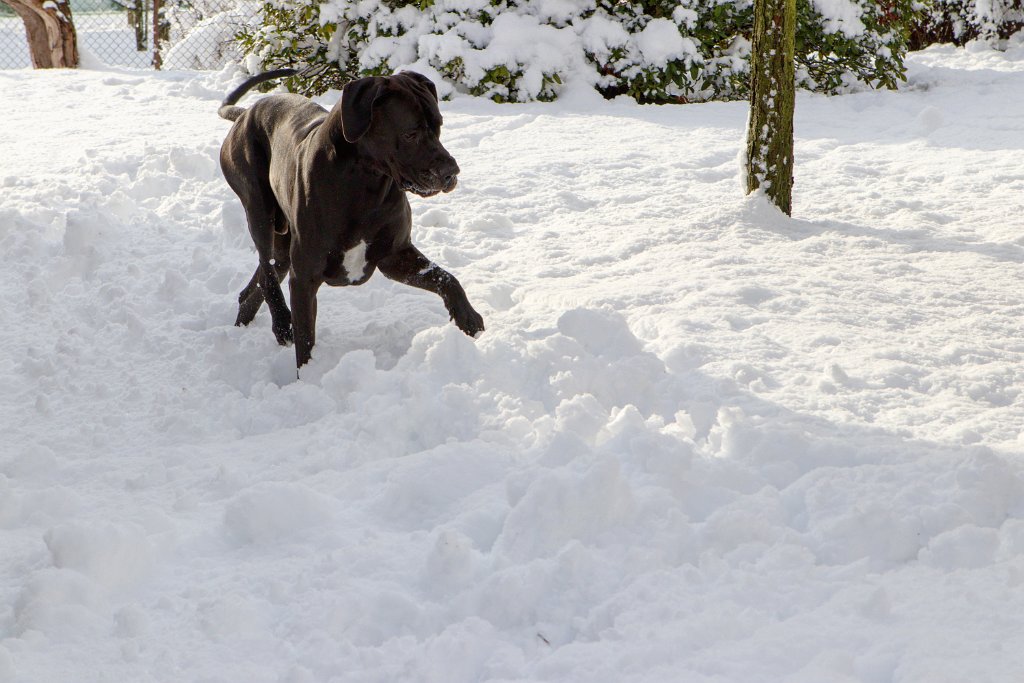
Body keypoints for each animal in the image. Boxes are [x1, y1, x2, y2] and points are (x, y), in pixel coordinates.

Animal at [218, 68, 481, 368]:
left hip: (283, 248)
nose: (452, 172)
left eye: (438, 126)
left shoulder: (395, 256)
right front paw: (309, 375)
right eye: (410, 133)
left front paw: (468, 318)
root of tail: (245, 113)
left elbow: (447, 279)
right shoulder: (305, 278)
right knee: (266, 267)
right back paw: (282, 323)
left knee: (258, 282)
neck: (366, 185)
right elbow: (305, 340)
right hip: (259, 209)